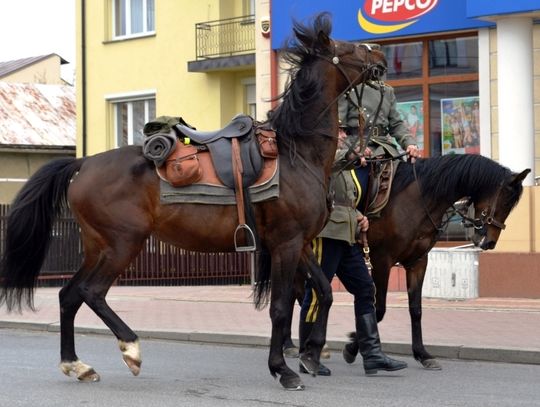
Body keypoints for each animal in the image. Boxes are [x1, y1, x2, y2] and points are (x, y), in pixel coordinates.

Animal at [0, 12, 388, 392]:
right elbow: (280, 308)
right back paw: (131, 348)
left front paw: (310, 354)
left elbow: (324, 292)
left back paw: (76, 364)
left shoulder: (302, 244)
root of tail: (84, 163)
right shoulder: (286, 244)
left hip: (98, 246)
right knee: (90, 292)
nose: (381, 55)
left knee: (69, 295)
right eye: (348, 48)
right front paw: (283, 369)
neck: (297, 152)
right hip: (123, 244)